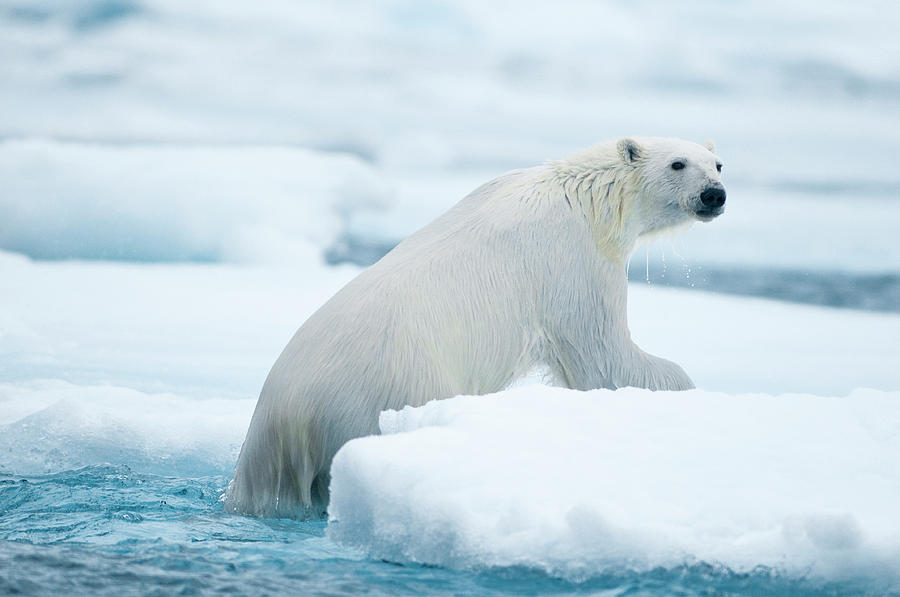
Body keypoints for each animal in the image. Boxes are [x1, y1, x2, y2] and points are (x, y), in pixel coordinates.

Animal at [223, 135, 724, 516]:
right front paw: (682, 385)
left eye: (718, 164)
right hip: (391, 389)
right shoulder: (576, 266)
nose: (714, 195)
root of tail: (280, 419)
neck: (586, 197)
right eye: (678, 163)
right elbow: (605, 356)